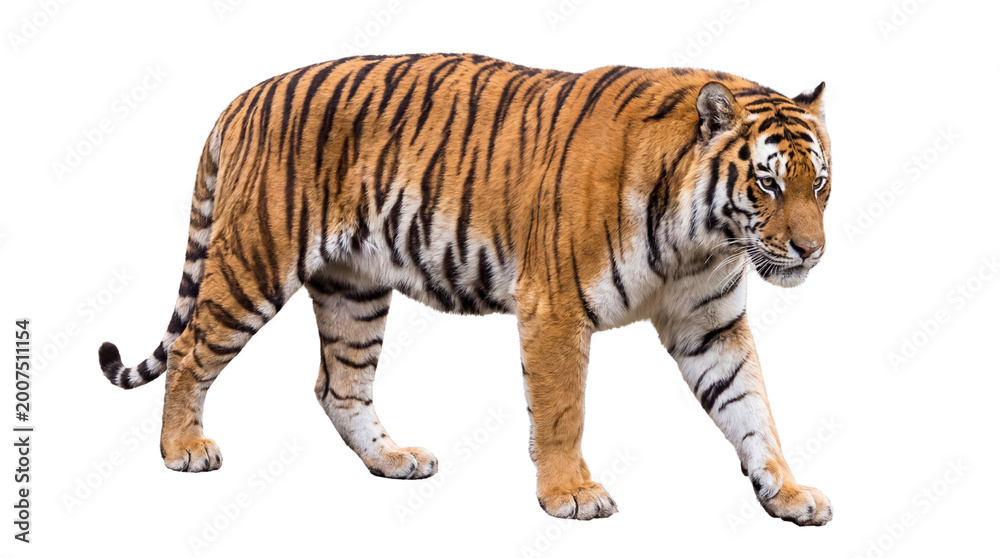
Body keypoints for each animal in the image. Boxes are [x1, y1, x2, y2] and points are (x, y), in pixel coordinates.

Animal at [98, 53, 832, 524]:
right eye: (767, 182)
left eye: (818, 183)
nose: (812, 251)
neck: (700, 241)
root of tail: (243, 97)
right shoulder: (555, 308)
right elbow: (563, 410)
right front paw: (570, 494)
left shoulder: (710, 324)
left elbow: (752, 409)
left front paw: (788, 493)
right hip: (254, 261)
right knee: (191, 350)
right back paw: (182, 451)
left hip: (354, 290)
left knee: (339, 387)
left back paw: (393, 460)